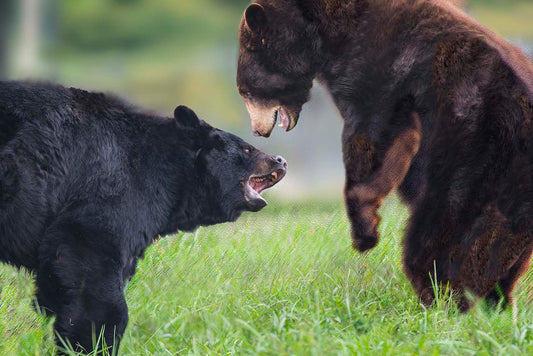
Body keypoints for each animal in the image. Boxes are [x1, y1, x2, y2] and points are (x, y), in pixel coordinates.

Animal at [236, 0, 532, 310]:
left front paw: (365, 232)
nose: (257, 131)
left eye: (246, 90)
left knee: (435, 236)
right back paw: (491, 300)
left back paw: (445, 301)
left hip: (472, 162)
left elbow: (373, 137)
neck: (327, 35)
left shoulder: (378, 68)